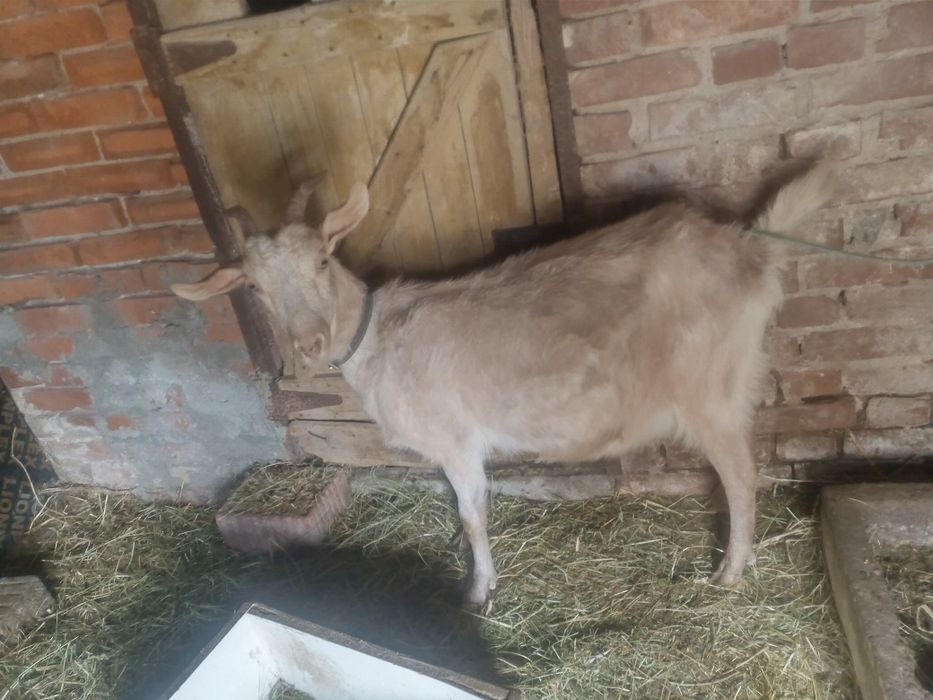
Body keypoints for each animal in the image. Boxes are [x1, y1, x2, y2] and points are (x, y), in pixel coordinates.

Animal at [172, 166, 836, 607]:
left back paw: (730, 573)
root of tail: (749, 248)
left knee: (743, 474)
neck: (377, 338)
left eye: (321, 260)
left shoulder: (456, 441)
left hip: (710, 387)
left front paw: (477, 590)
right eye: (254, 288)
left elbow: (472, 514)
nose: (309, 343)